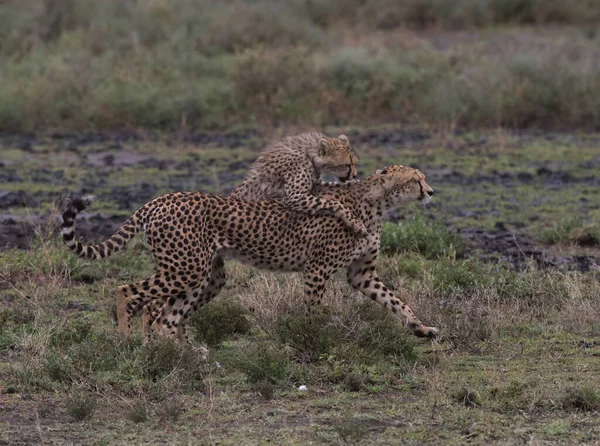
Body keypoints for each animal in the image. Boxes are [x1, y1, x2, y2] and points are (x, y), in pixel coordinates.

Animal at [59, 164, 436, 342]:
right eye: (416, 179)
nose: (431, 191)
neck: (375, 203)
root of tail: (160, 198)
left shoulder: (362, 273)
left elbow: (395, 300)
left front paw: (420, 327)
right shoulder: (317, 269)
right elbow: (315, 310)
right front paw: (316, 337)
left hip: (206, 275)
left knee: (166, 317)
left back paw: (185, 356)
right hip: (186, 268)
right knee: (129, 293)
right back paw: (129, 341)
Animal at [229, 132, 366, 235]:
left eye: (355, 163)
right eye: (347, 165)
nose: (355, 175)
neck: (309, 153)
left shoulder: (315, 185)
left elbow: (333, 184)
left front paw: (358, 183)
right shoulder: (295, 196)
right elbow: (335, 203)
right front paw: (356, 223)